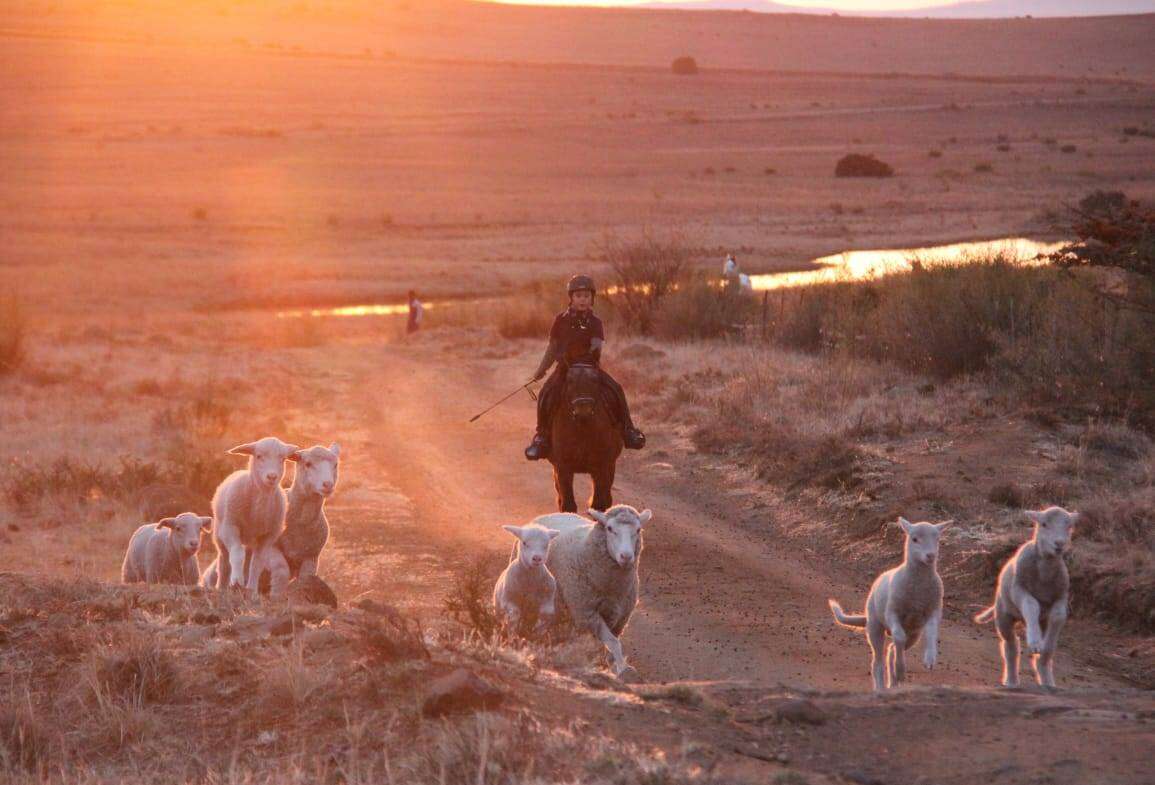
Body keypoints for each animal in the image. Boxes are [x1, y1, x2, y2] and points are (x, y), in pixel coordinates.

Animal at [210, 431, 297, 591]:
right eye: (259, 456)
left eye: (282, 459)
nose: (272, 477)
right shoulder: (230, 527)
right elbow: (237, 553)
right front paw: (237, 580)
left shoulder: (268, 536)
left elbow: (257, 563)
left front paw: (252, 589)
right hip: (220, 533)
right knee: (224, 562)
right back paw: (222, 586)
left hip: (251, 542)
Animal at [540, 505, 651, 678]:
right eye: (609, 528)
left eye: (638, 530)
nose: (626, 557)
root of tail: (555, 513)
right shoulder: (588, 614)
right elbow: (613, 642)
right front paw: (622, 669)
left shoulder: (619, 618)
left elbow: (609, 644)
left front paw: (612, 665)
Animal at [547, 362, 623, 512]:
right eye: (569, 381)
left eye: (594, 381)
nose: (583, 411)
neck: (582, 428)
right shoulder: (563, 467)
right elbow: (568, 504)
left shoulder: (602, 466)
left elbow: (599, 503)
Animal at [831, 517, 947, 688]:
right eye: (914, 539)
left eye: (937, 539)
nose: (930, 556)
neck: (918, 587)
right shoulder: (892, 612)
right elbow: (898, 636)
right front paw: (900, 670)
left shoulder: (933, 610)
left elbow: (932, 633)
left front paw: (929, 659)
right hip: (875, 626)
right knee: (878, 661)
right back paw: (882, 686)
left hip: (914, 633)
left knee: (893, 649)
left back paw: (894, 681)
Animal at [979, 507, 1076, 688]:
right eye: (1044, 524)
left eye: (1069, 526)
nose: (1059, 544)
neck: (1044, 576)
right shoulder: (1019, 589)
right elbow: (1032, 605)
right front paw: (1035, 642)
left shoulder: (1061, 597)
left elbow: (1058, 617)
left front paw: (1044, 647)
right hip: (1003, 615)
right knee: (1011, 647)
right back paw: (1011, 681)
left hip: (1040, 621)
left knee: (1039, 658)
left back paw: (1047, 681)